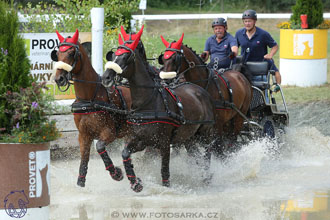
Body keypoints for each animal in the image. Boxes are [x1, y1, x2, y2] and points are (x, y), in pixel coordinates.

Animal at [51, 29, 131, 187]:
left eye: (71, 53)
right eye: (57, 54)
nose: (59, 79)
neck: (89, 99)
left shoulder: (109, 133)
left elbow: (99, 147)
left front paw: (116, 173)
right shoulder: (84, 135)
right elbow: (84, 159)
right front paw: (81, 183)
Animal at [102, 24, 215, 192]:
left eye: (126, 57)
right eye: (114, 55)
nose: (106, 77)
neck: (147, 103)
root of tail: (200, 90)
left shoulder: (164, 143)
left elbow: (165, 171)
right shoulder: (141, 140)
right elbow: (125, 154)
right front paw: (134, 181)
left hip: (205, 133)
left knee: (207, 155)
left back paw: (207, 177)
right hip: (189, 138)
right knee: (195, 156)